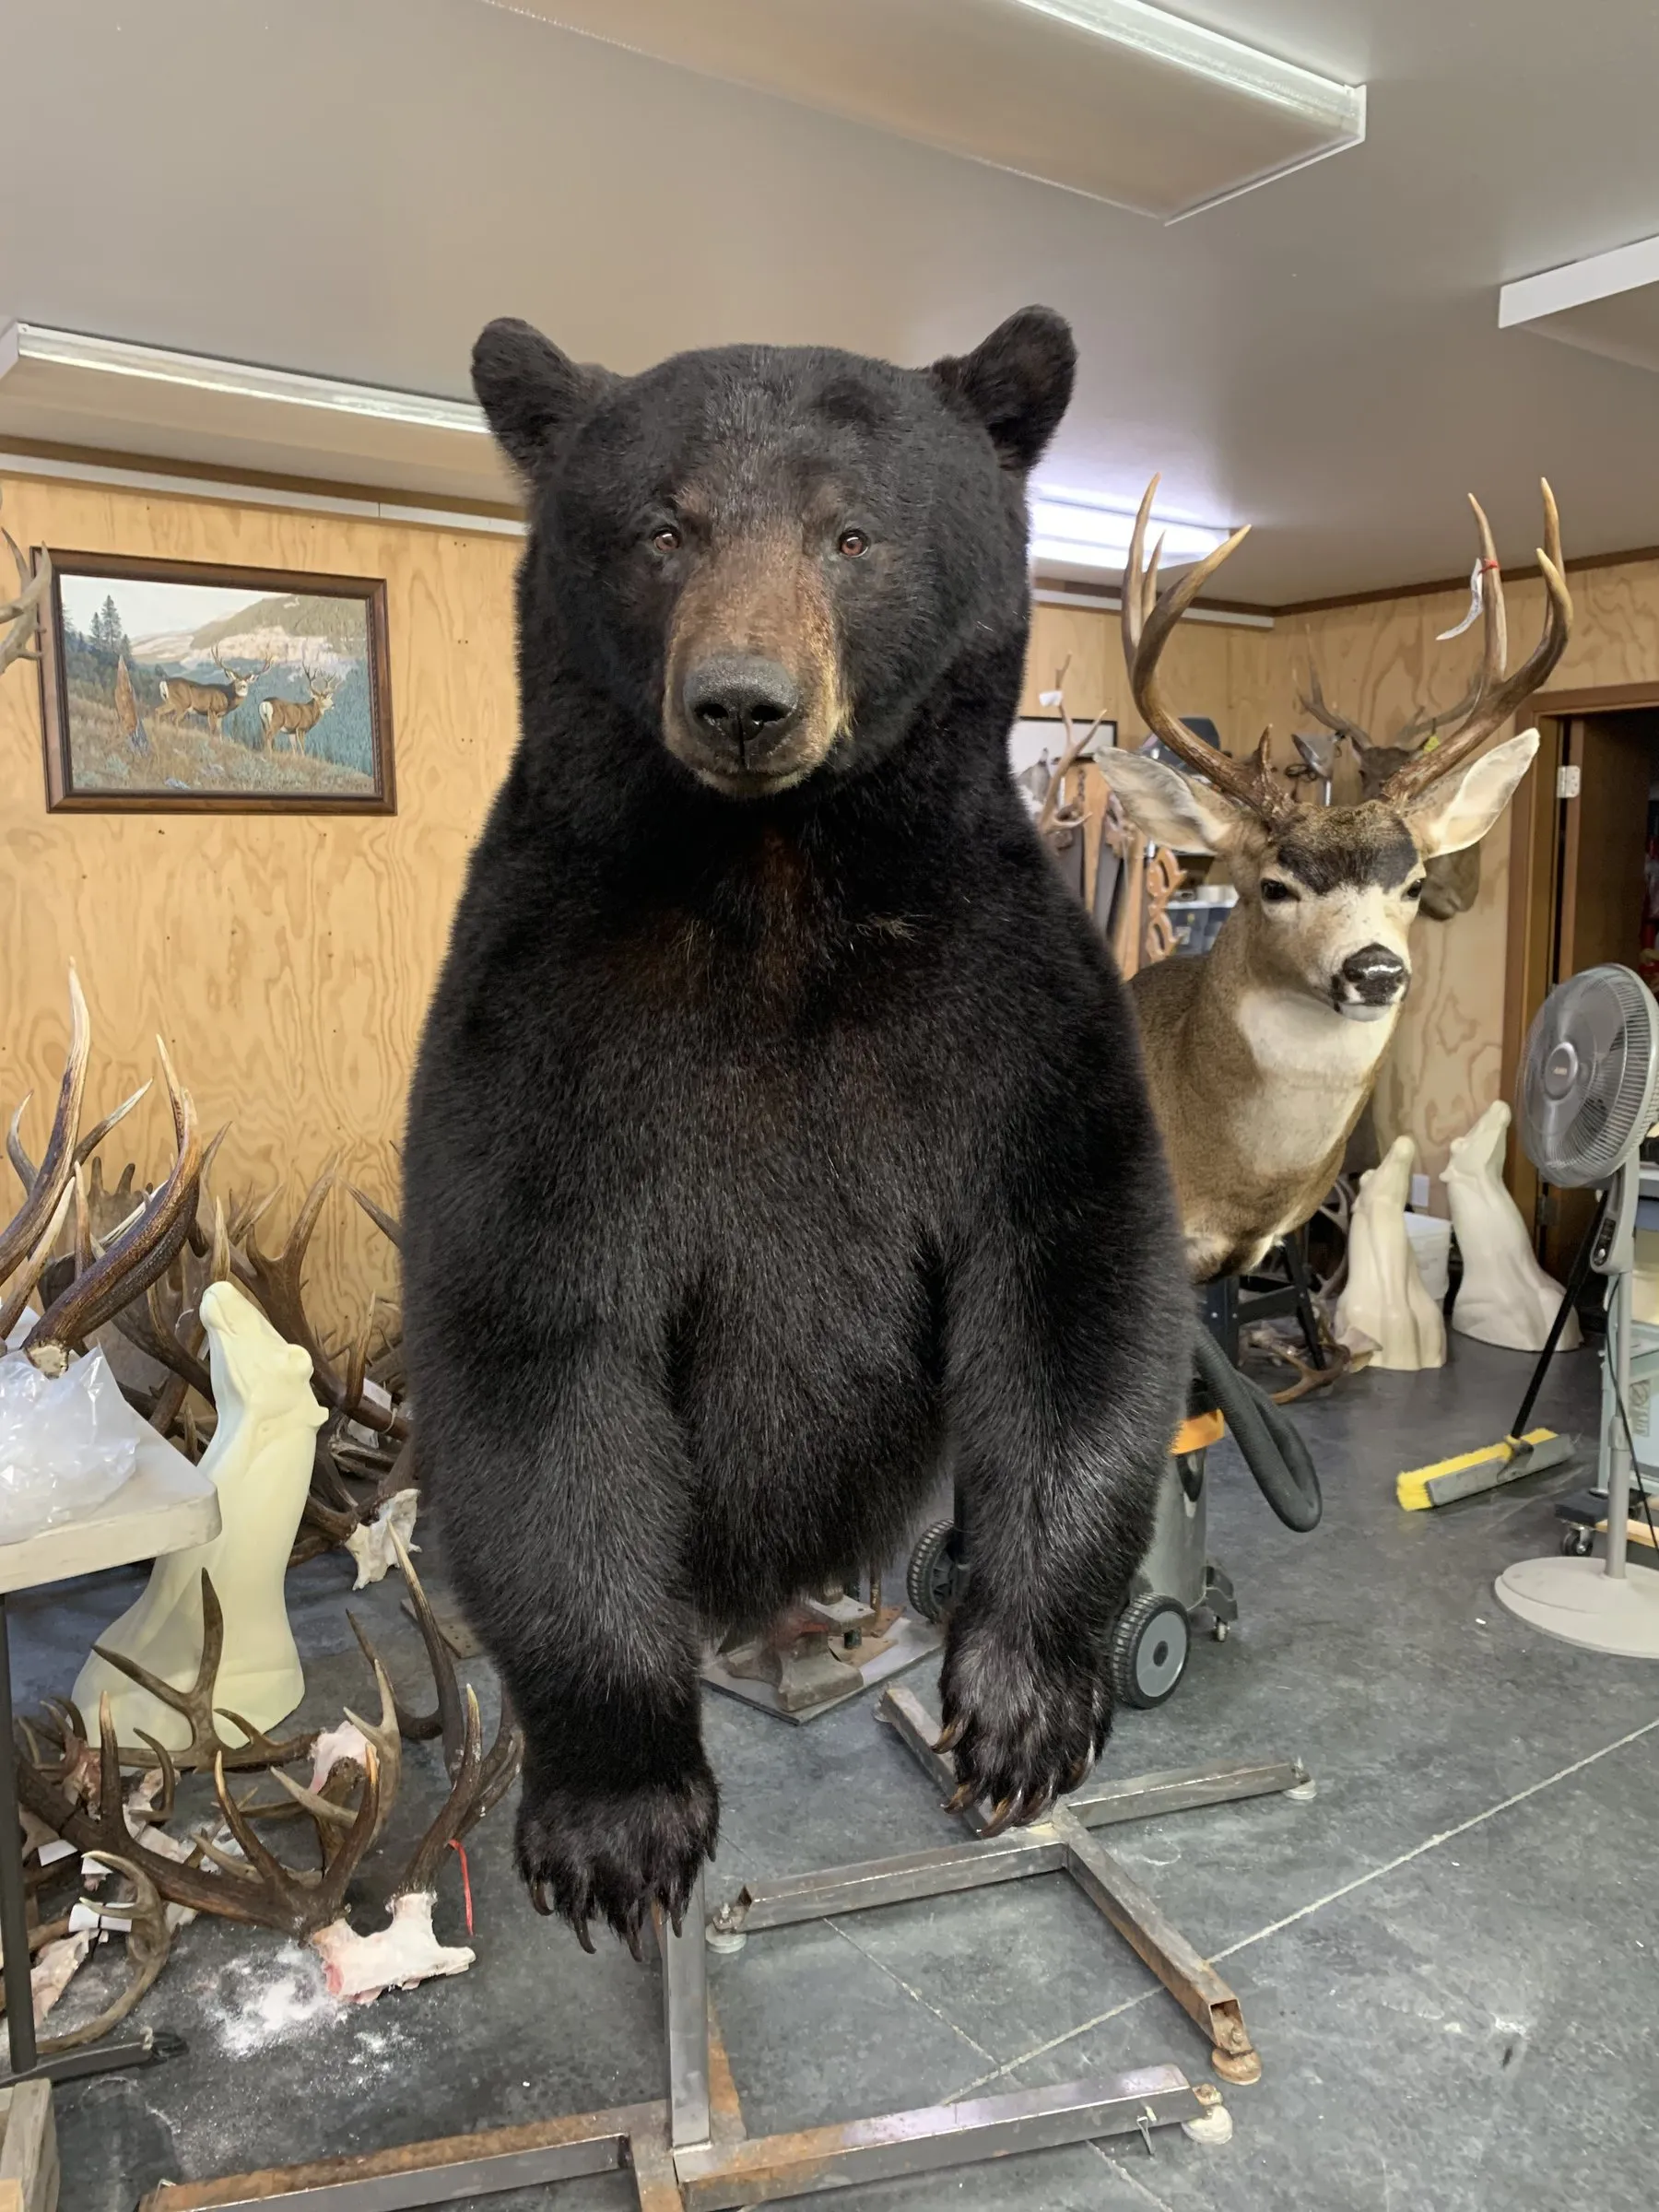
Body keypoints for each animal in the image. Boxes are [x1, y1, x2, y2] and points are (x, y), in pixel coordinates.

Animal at [402, 307, 1191, 1954]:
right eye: (663, 528)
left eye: (852, 534)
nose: (745, 701)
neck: (774, 883)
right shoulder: (547, 1010)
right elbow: (533, 1330)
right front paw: (618, 1821)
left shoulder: (1007, 994)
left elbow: (1077, 1261)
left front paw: (1021, 1711)